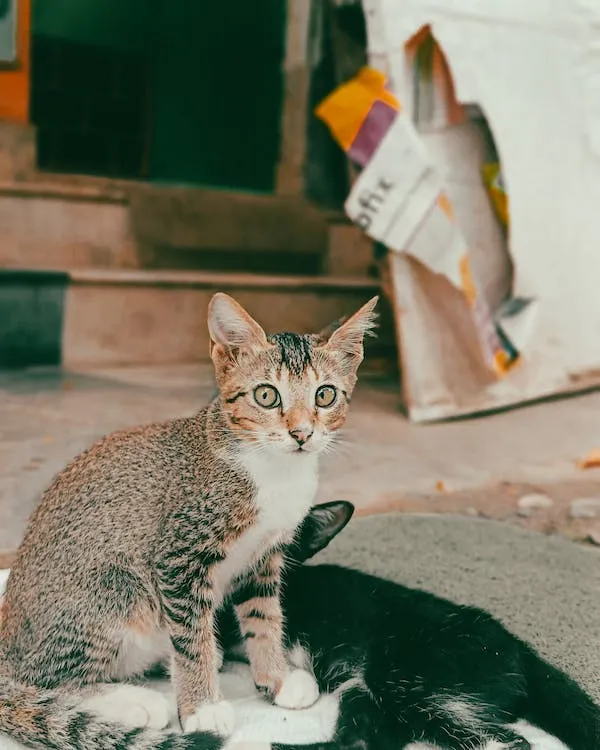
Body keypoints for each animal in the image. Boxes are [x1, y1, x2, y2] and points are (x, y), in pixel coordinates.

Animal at [0, 292, 376, 750]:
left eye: (325, 395)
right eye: (267, 396)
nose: (302, 433)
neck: (272, 470)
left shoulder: (264, 558)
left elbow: (264, 618)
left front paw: (277, 679)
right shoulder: (180, 557)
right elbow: (194, 639)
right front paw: (202, 707)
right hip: (115, 590)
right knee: (38, 680)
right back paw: (134, 702)